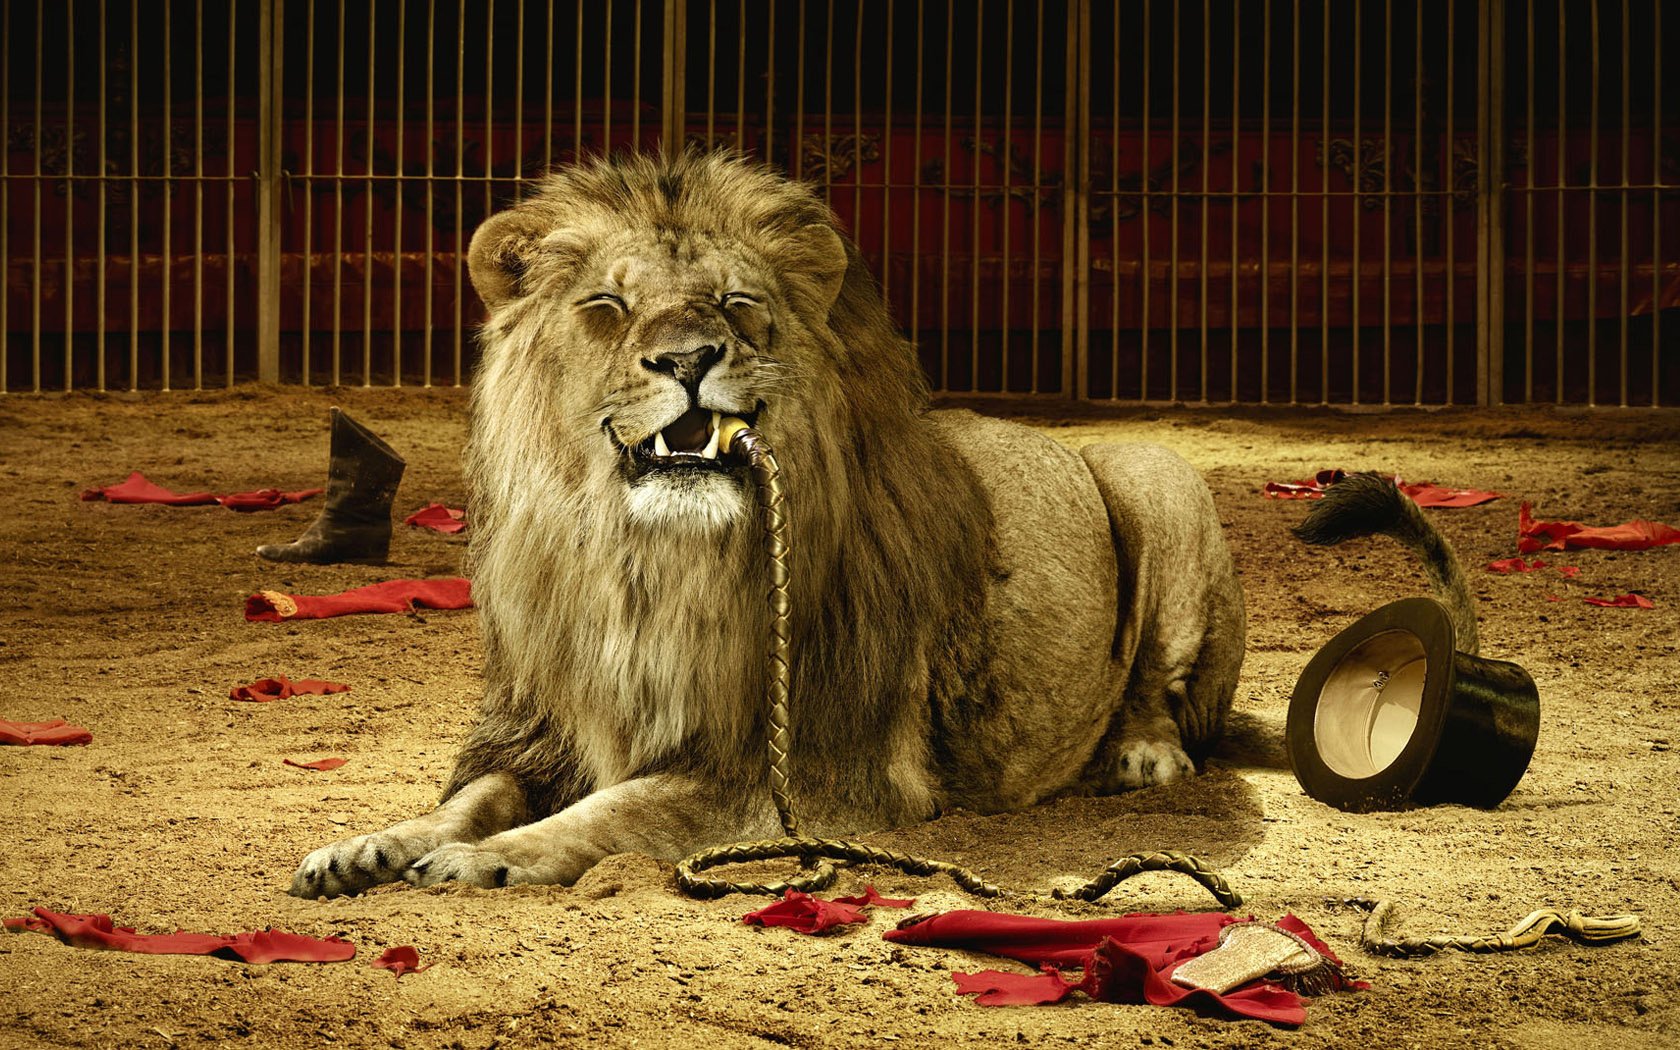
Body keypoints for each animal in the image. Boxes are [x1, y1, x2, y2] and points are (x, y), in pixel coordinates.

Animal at [288, 152, 1246, 898]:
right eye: (606, 306)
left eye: (736, 301)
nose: (687, 358)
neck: (646, 566)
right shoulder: (541, 731)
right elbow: (468, 799)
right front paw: (370, 845)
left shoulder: (812, 771)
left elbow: (618, 810)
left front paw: (490, 859)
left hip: (1154, 473)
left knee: (1160, 683)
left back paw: (1144, 758)